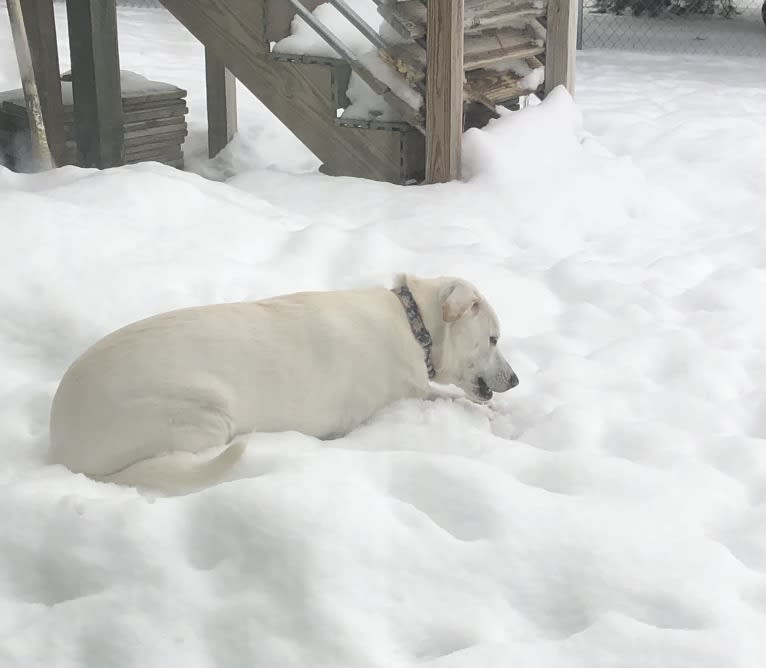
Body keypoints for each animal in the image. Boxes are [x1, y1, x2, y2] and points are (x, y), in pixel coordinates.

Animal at [49, 274, 520, 494]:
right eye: (494, 339)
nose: (515, 380)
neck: (412, 323)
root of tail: (59, 441)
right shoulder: (400, 396)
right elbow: (458, 401)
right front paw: (499, 416)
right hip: (203, 415)